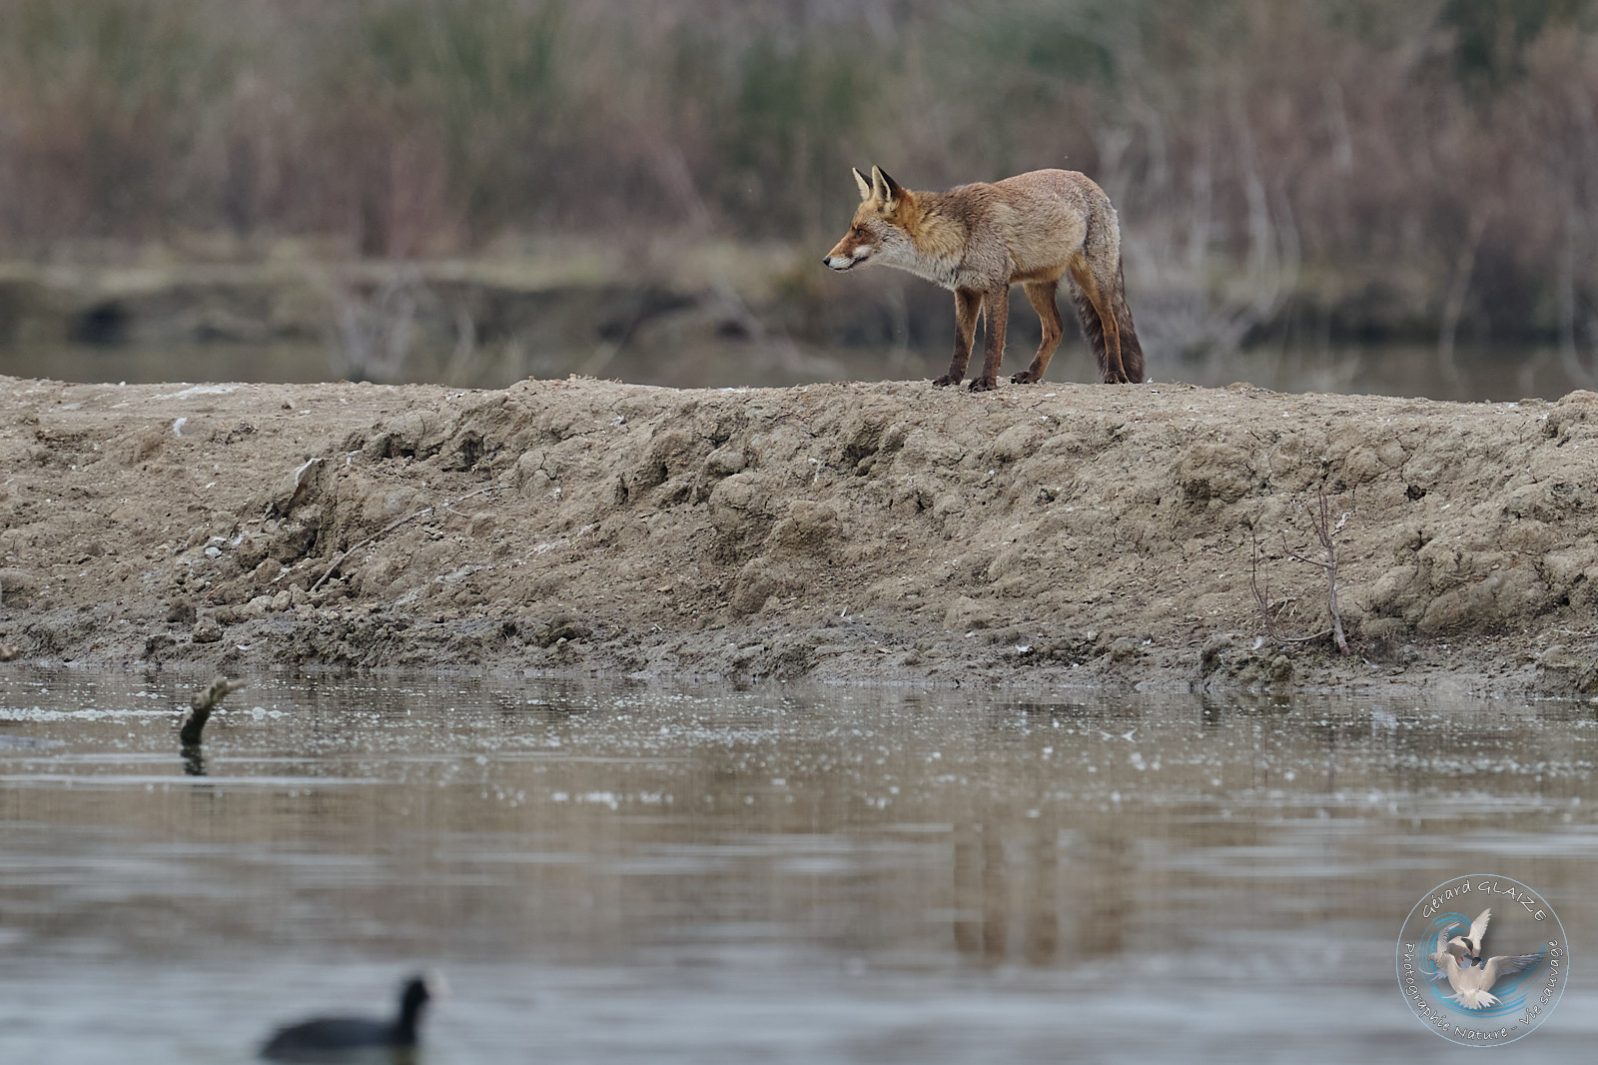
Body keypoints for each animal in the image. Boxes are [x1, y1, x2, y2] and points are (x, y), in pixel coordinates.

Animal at [824, 167, 1150, 391]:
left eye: (859, 232)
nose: (825, 260)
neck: (958, 235)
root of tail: (1091, 183)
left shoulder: (995, 286)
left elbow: (993, 341)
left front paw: (986, 382)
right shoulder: (965, 291)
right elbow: (962, 344)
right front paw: (952, 379)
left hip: (1093, 281)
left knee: (1110, 325)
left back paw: (1115, 374)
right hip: (1036, 288)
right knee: (1056, 329)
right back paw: (1033, 375)